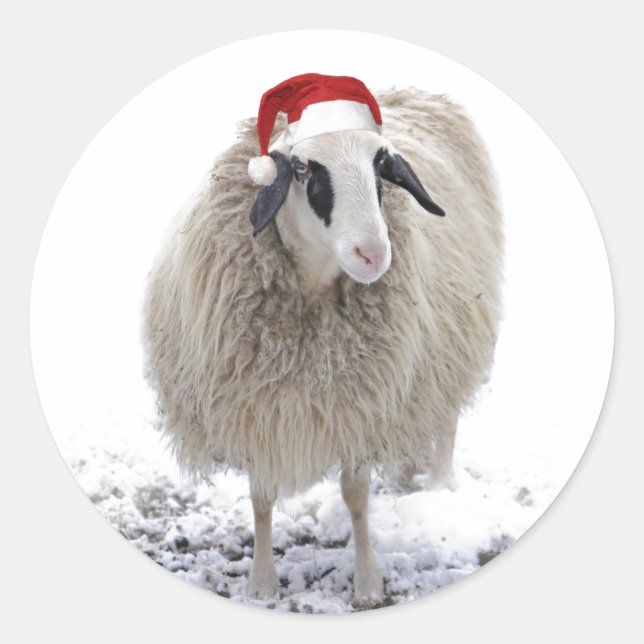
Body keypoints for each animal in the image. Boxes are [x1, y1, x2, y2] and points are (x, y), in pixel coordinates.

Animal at [142, 82, 503, 607]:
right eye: (303, 167)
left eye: (380, 164)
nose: (373, 254)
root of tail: (414, 90)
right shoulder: (256, 409)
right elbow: (261, 498)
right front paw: (261, 584)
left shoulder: (362, 405)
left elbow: (356, 497)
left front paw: (368, 582)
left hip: (451, 345)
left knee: (447, 417)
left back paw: (438, 485)